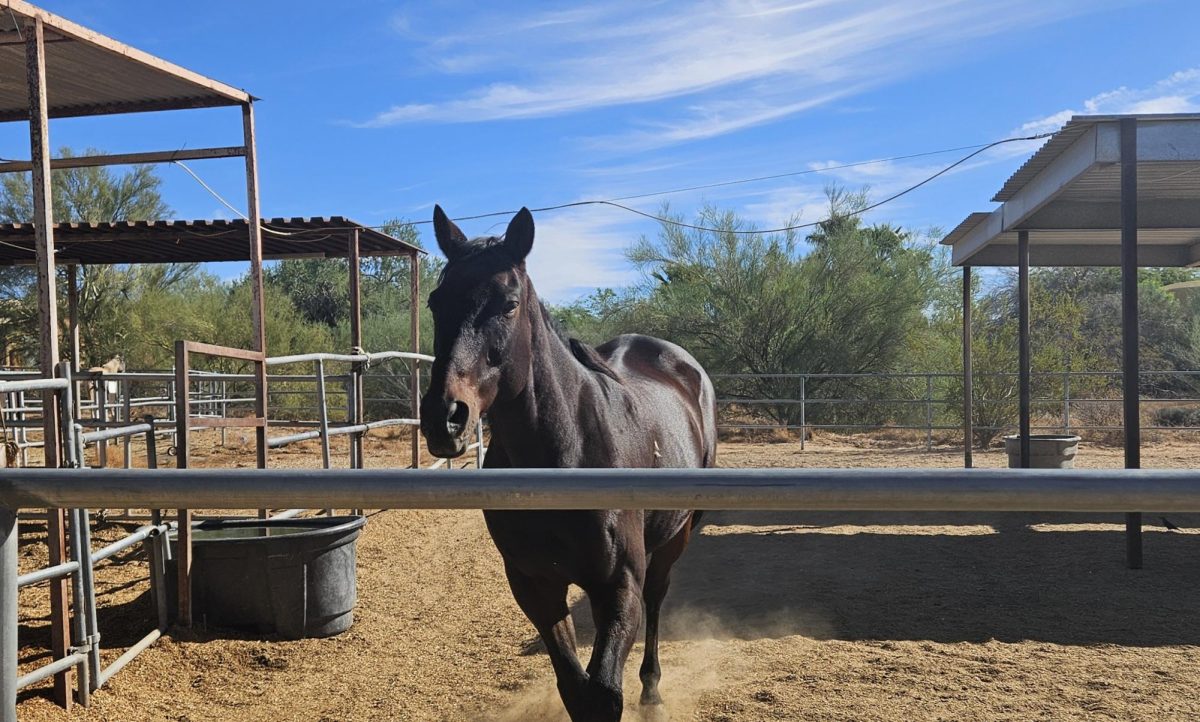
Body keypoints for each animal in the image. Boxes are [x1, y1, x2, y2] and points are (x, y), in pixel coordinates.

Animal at [422, 205, 715, 714]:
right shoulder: (535, 587)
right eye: (436, 302)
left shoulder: (618, 585)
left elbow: (604, 693)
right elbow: (577, 688)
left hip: (673, 540)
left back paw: (652, 688)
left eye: (508, 304)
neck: (565, 455)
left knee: (656, 601)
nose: (445, 417)